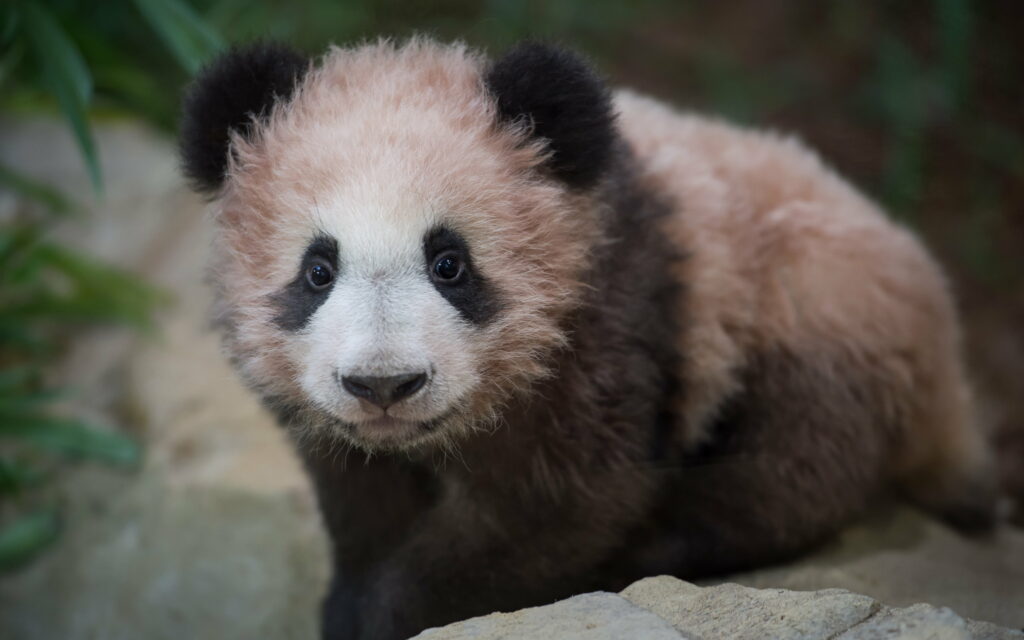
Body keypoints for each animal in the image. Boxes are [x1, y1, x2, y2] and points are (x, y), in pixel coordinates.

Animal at [179, 38, 997, 639]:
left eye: (450, 264)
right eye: (318, 270)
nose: (385, 384)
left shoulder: (611, 318)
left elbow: (566, 504)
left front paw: (396, 610)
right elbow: (359, 498)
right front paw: (349, 602)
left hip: (811, 315)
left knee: (790, 470)